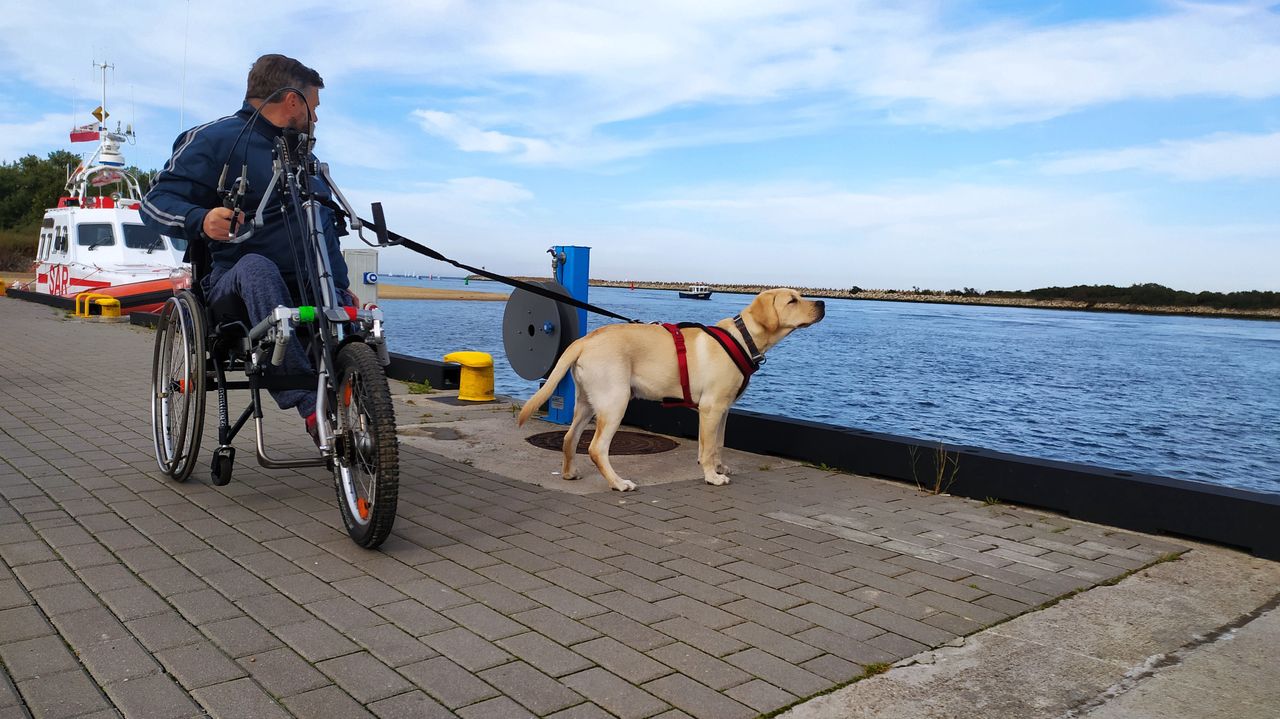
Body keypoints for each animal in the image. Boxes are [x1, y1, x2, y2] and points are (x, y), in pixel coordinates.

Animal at [517, 287, 824, 488]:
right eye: (792, 300)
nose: (822, 302)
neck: (743, 338)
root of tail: (584, 340)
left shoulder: (722, 410)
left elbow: (717, 444)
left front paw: (719, 467)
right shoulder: (711, 408)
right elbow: (708, 447)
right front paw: (712, 476)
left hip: (588, 402)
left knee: (570, 438)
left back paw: (570, 473)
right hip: (616, 401)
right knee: (596, 448)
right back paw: (619, 483)